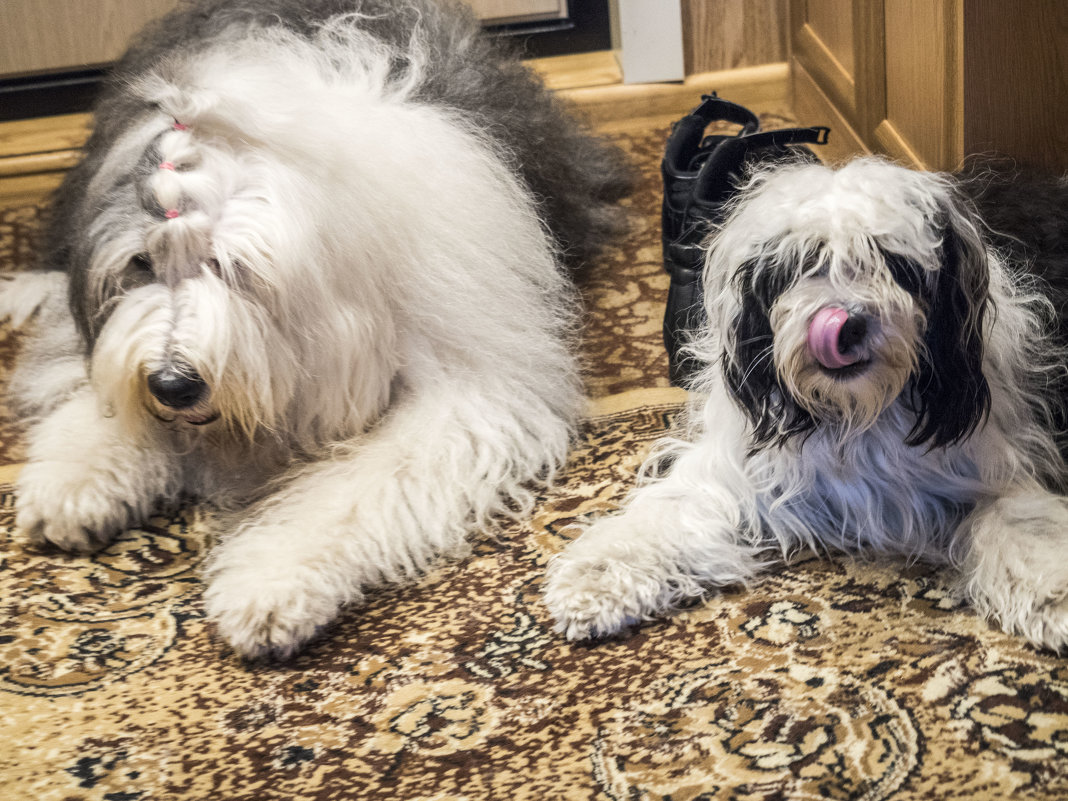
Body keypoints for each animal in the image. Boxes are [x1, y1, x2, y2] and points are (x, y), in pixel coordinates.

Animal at [0, 0, 627, 657]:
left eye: (231, 266)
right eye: (141, 262)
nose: (172, 385)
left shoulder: (467, 380)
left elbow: (355, 488)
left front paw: (268, 588)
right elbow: (91, 380)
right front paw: (76, 481)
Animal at [546, 156, 1068, 653]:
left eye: (895, 264)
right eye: (802, 264)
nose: (849, 324)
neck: (853, 416)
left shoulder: (997, 459)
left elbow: (1021, 521)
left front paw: (1053, 596)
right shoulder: (737, 465)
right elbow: (671, 510)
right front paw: (596, 577)